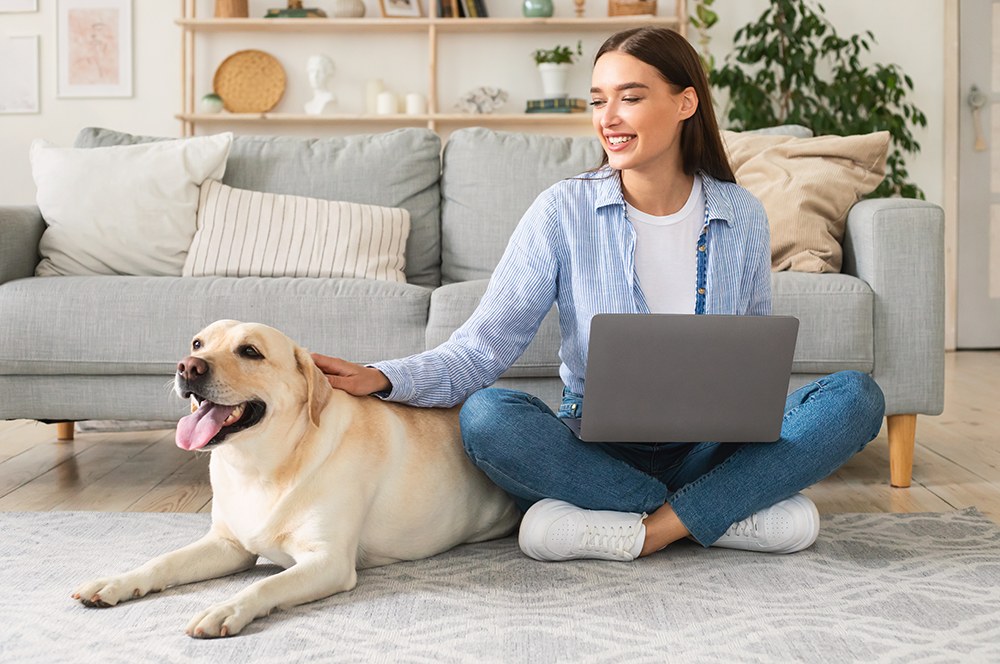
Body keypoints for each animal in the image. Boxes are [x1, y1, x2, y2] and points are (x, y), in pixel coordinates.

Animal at [70, 320, 520, 640]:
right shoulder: (228, 546)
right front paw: (117, 582)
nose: (187, 367)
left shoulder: (328, 561)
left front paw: (225, 609)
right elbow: (161, 561)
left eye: (250, 351)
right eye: (197, 343)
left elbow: (265, 586)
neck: (259, 467)